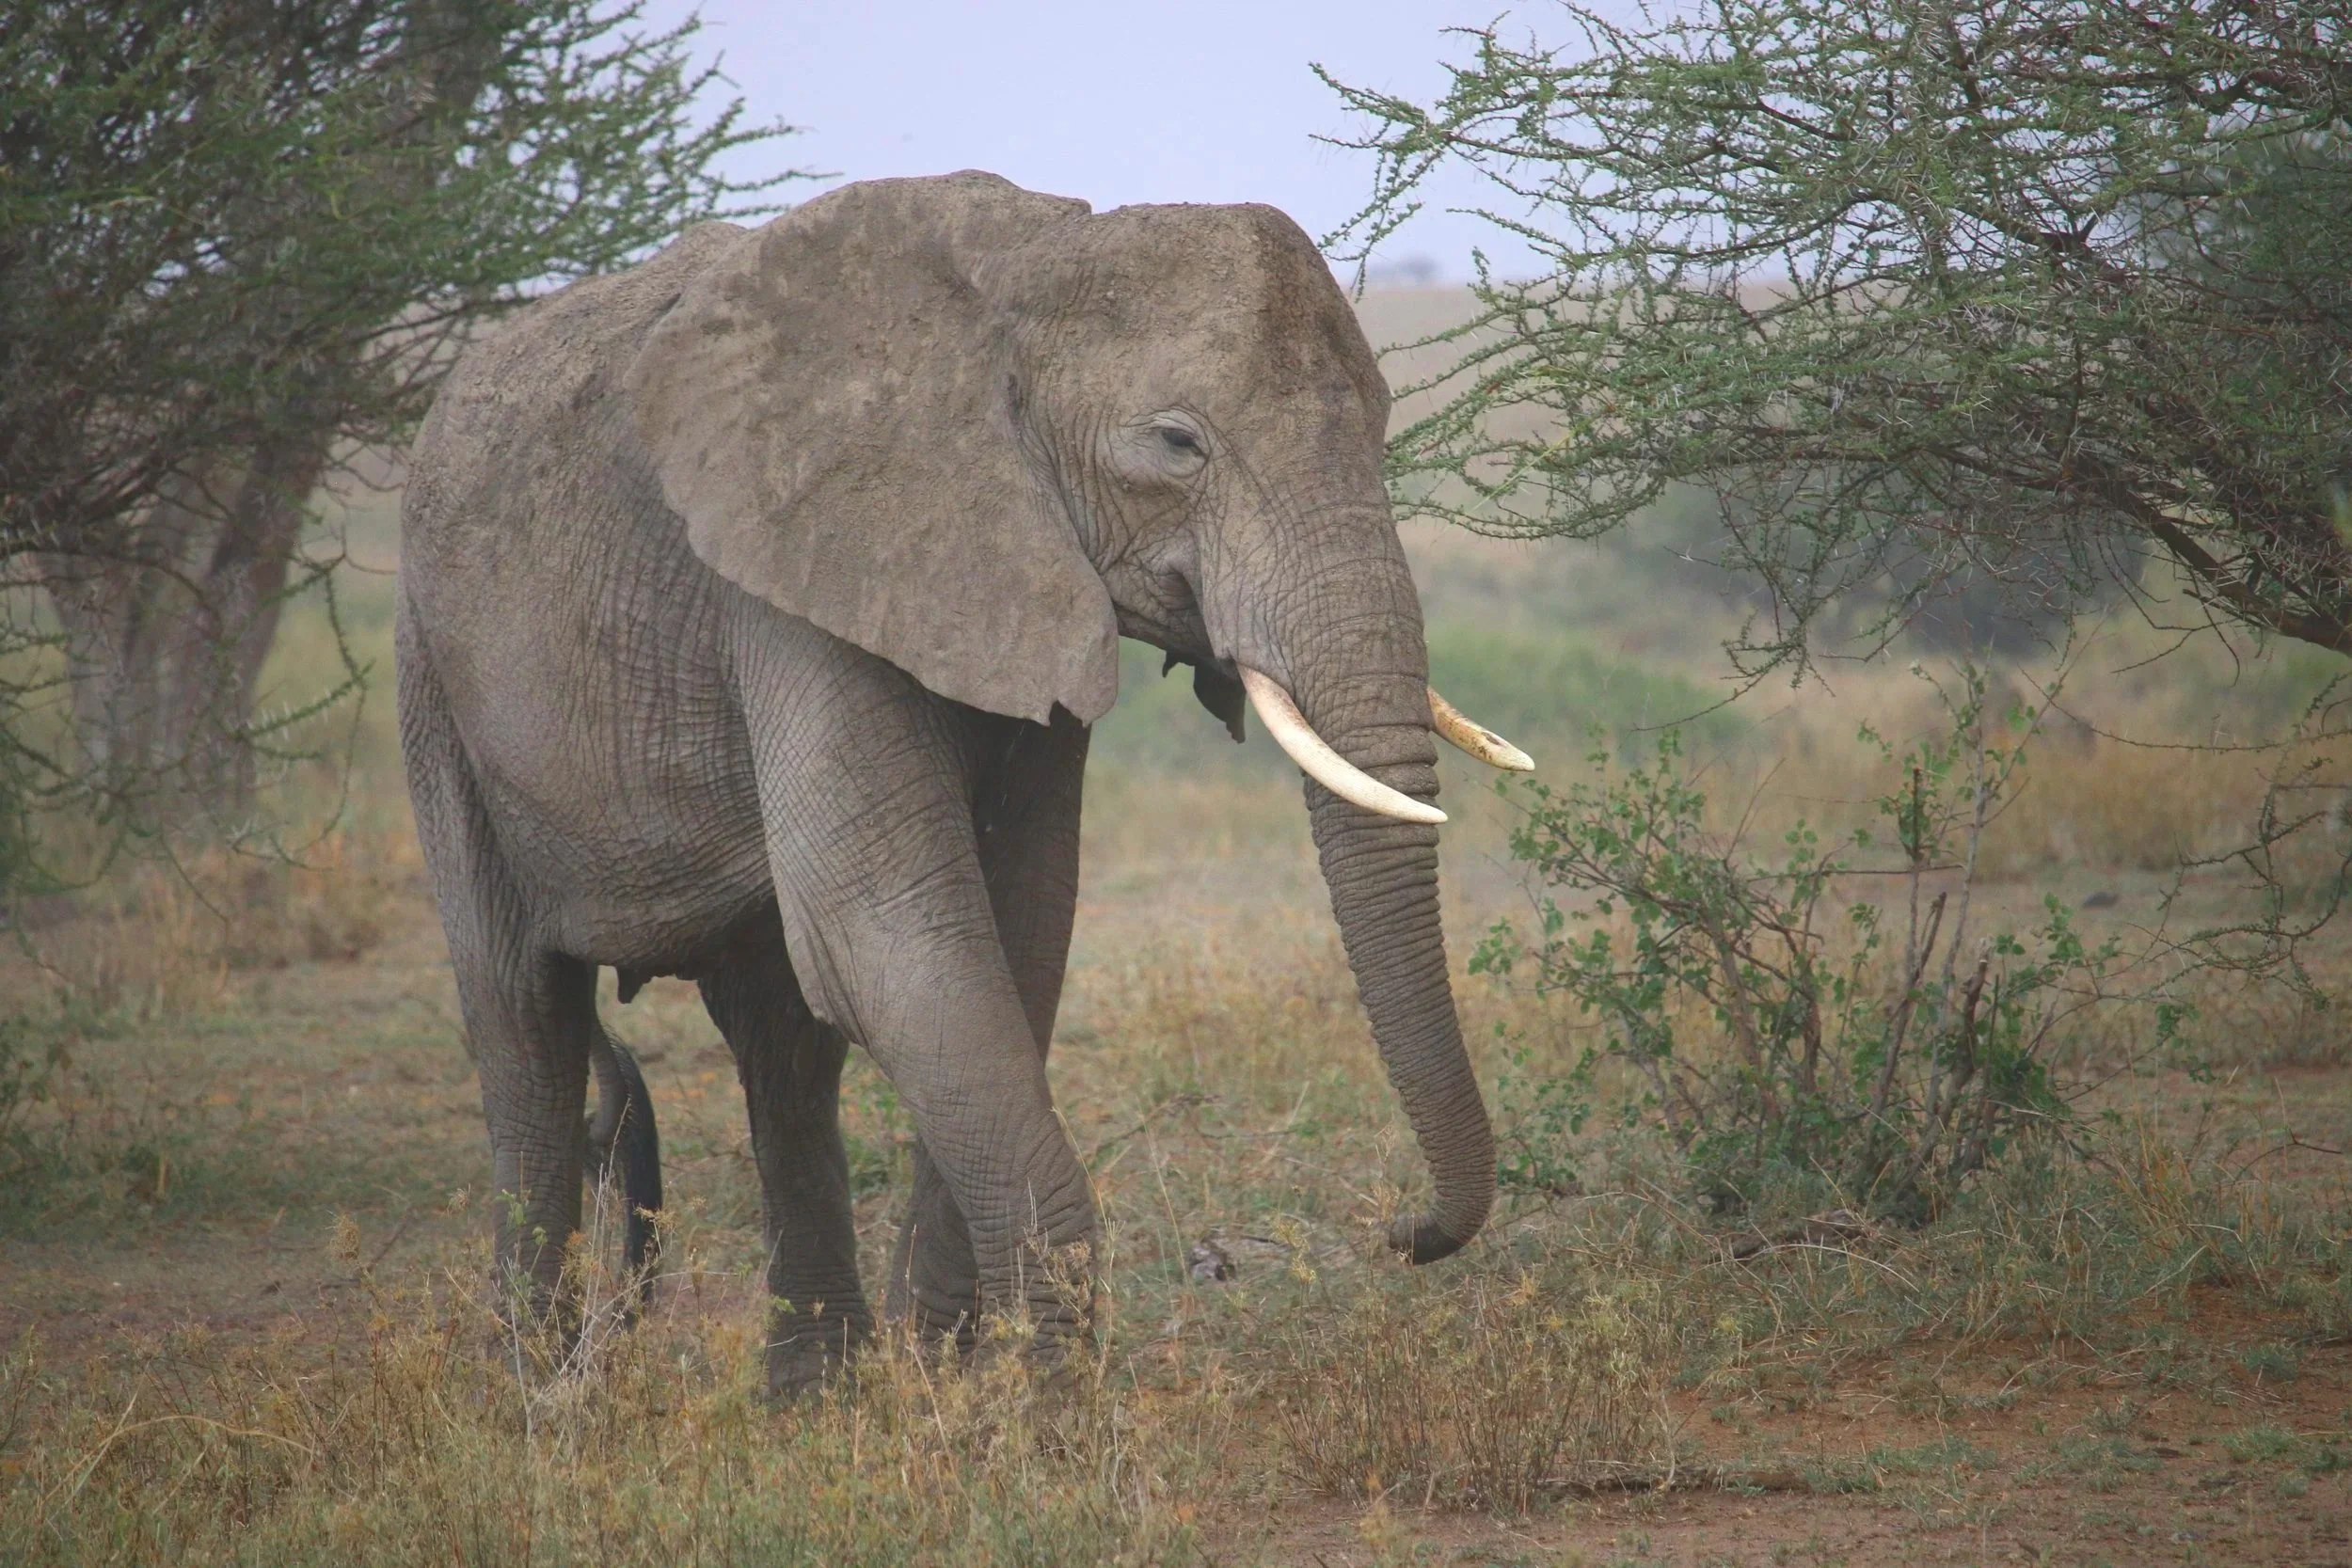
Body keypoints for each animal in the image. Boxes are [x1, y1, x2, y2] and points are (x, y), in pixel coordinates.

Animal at [395, 170, 1531, 1391]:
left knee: (780, 1044)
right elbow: (891, 934)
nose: (1401, 1231)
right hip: (434, 679)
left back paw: (814, 1401)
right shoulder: (793, 579)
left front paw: (941, 1379)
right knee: (524, 1019)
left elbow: (1014, 932)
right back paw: (542, 1393)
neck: (1023, 269)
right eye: (1178, 443)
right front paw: (1038, 1411)